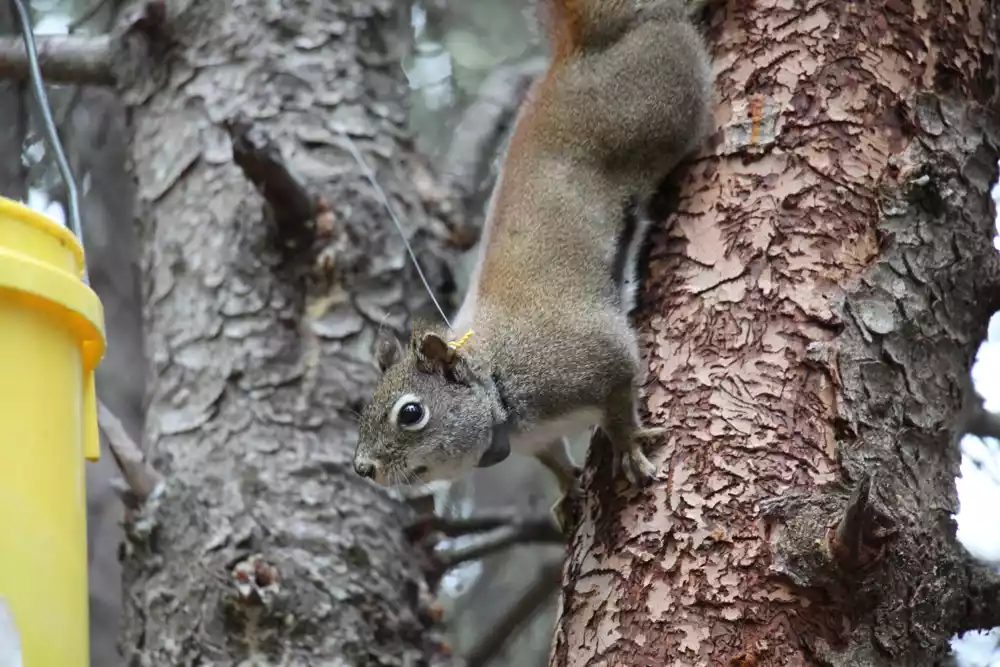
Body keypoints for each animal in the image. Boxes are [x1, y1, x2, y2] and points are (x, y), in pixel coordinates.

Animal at [352, 0, 712, 532]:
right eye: (363, 409)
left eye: (411, 413)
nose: (363, 467)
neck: (498, 386)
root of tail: (575, 58)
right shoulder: (537, 439)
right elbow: (553, 459)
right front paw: (567, 491)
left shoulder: (590, 362)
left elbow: (620, 391)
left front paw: (626, 443)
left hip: (664, 106)